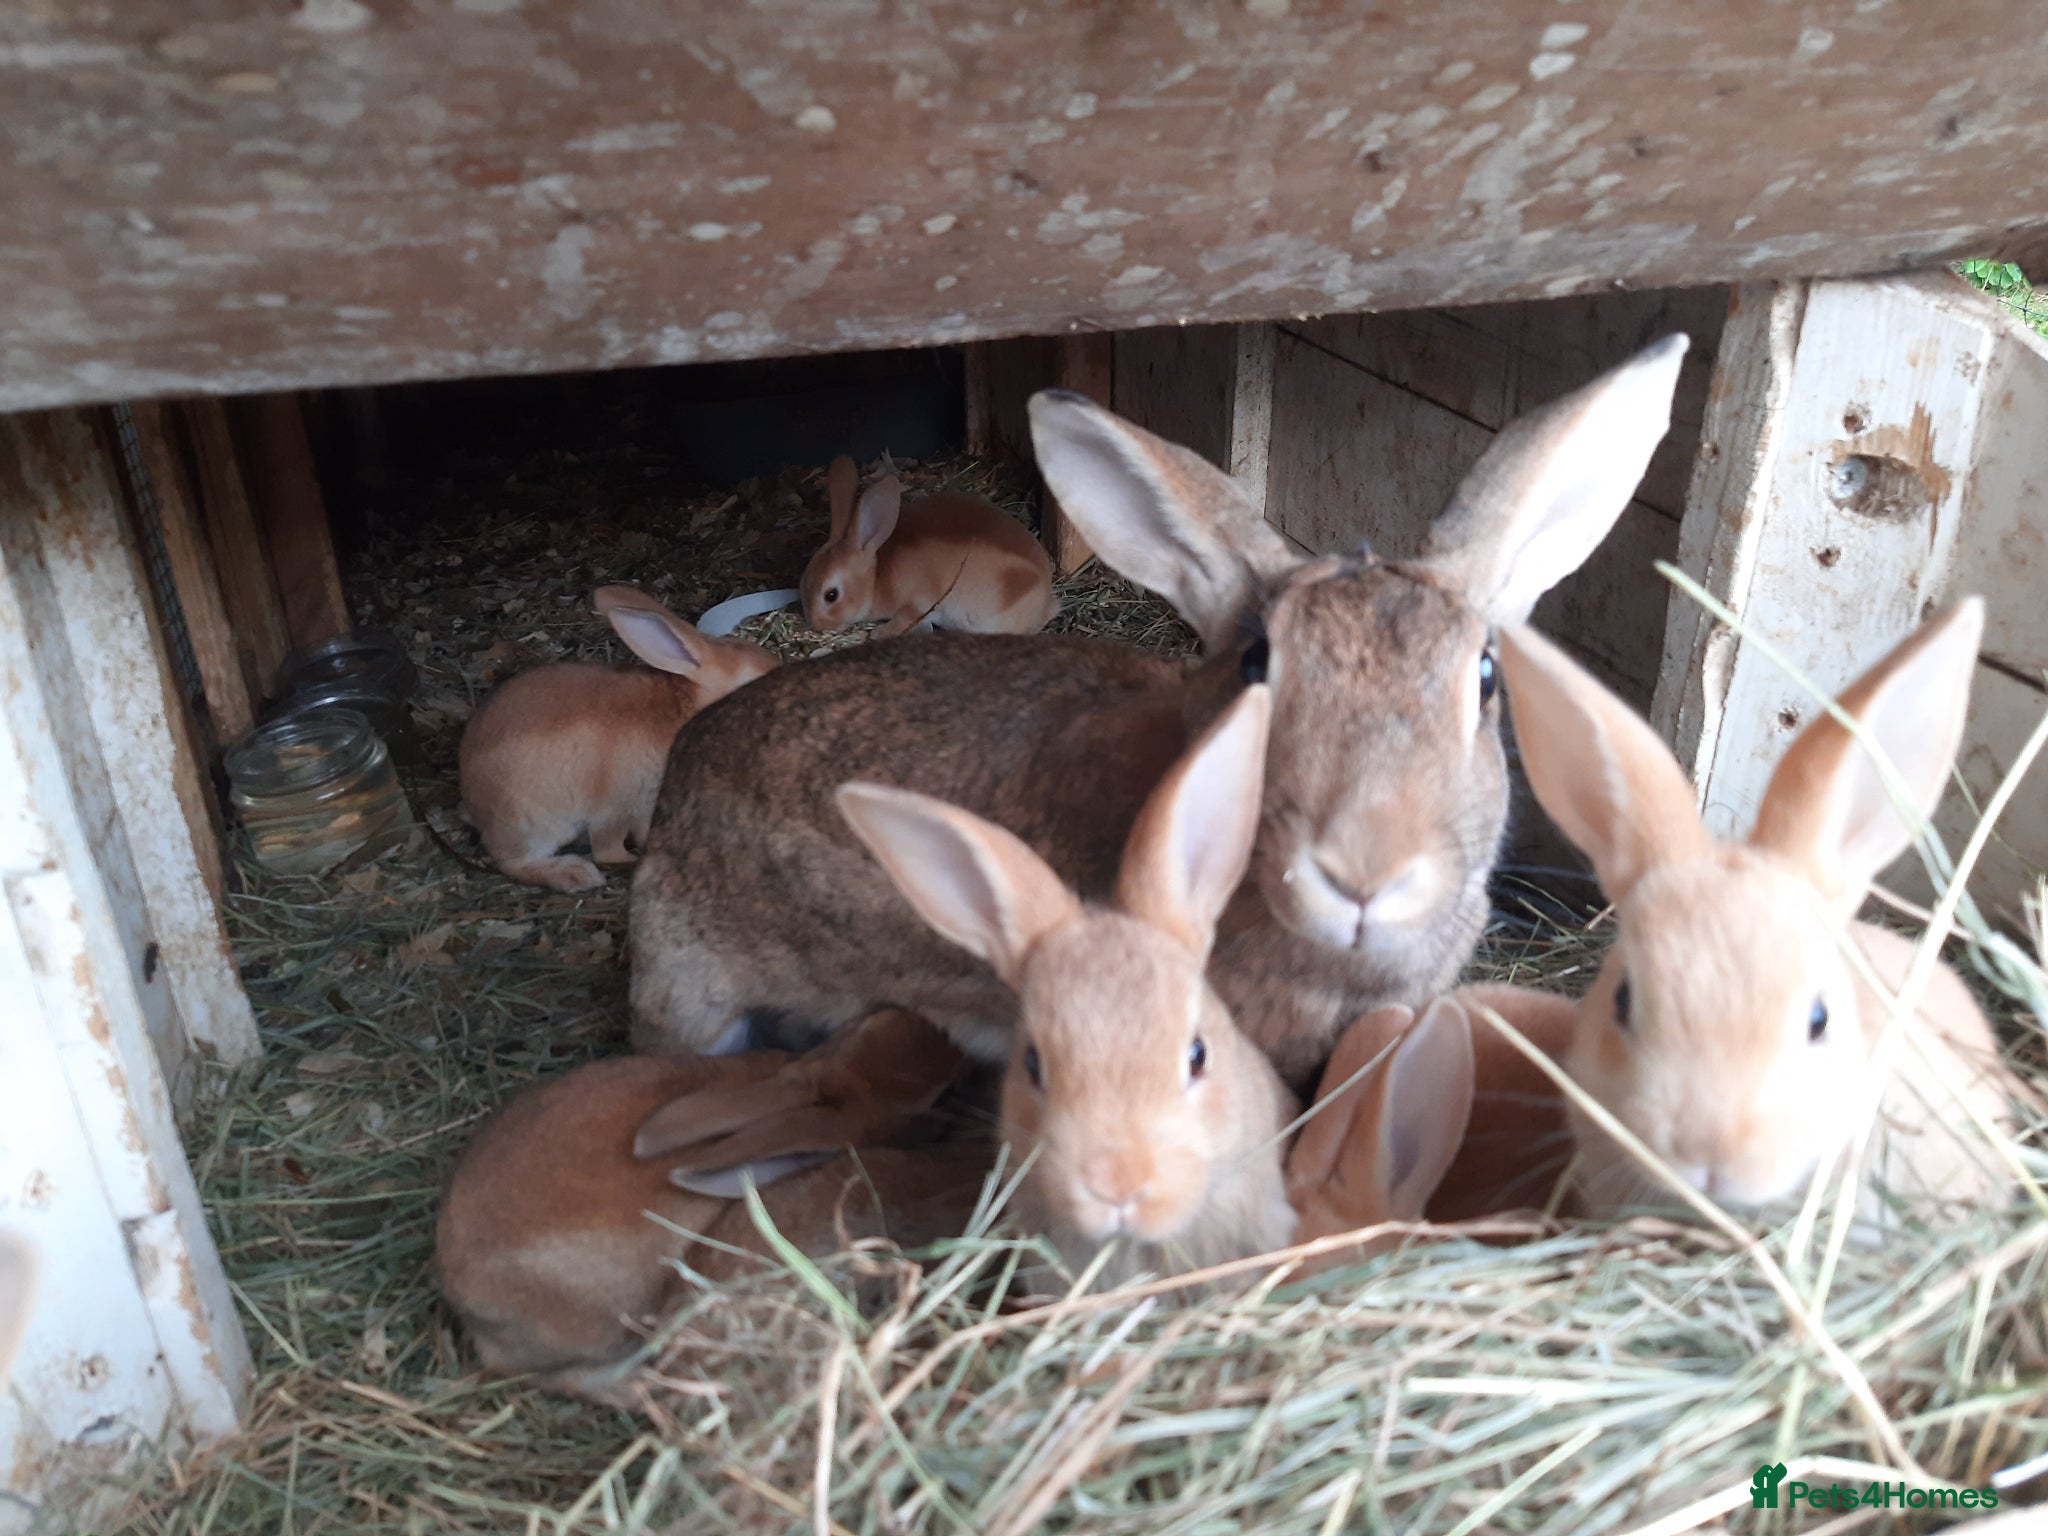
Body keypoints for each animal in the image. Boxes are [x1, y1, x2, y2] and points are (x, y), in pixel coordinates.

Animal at [458, 584, 778, 891]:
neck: (686, 710)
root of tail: (473, 803)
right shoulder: (617, 807)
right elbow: (609, 848)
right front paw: (631, 861)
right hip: (535, 822)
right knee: (513, 861)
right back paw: (574, 874)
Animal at [800, 455, 1056, 639]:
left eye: (831, 595)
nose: (816, 623)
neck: (876, 578)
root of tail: (1046, 604)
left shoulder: (917, 603)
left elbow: (905, 619)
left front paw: (879, 633)